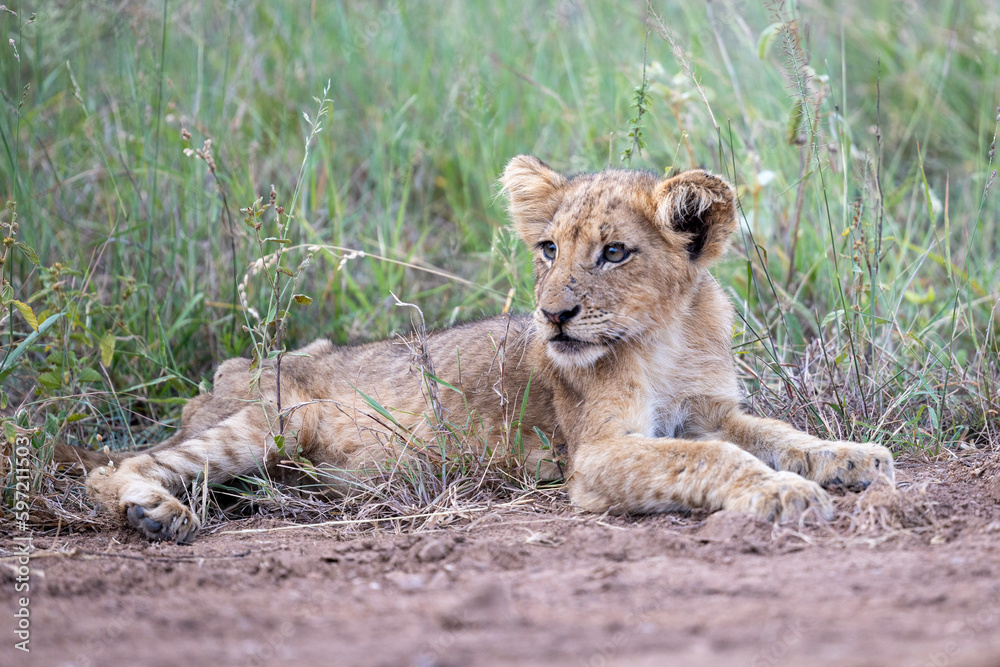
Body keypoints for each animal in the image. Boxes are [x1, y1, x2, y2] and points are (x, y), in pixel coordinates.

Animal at [57, 155, 894, 543]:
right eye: (549, 248)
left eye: (615, 253)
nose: (553, 316)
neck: (667, 335)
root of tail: (227, 370)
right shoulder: (597, 454)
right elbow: (712, 457)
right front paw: (783, 493)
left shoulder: (709, 406)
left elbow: (778, 432)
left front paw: (853, 458)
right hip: (272, 420)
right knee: (114, 467)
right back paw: (156, 512)